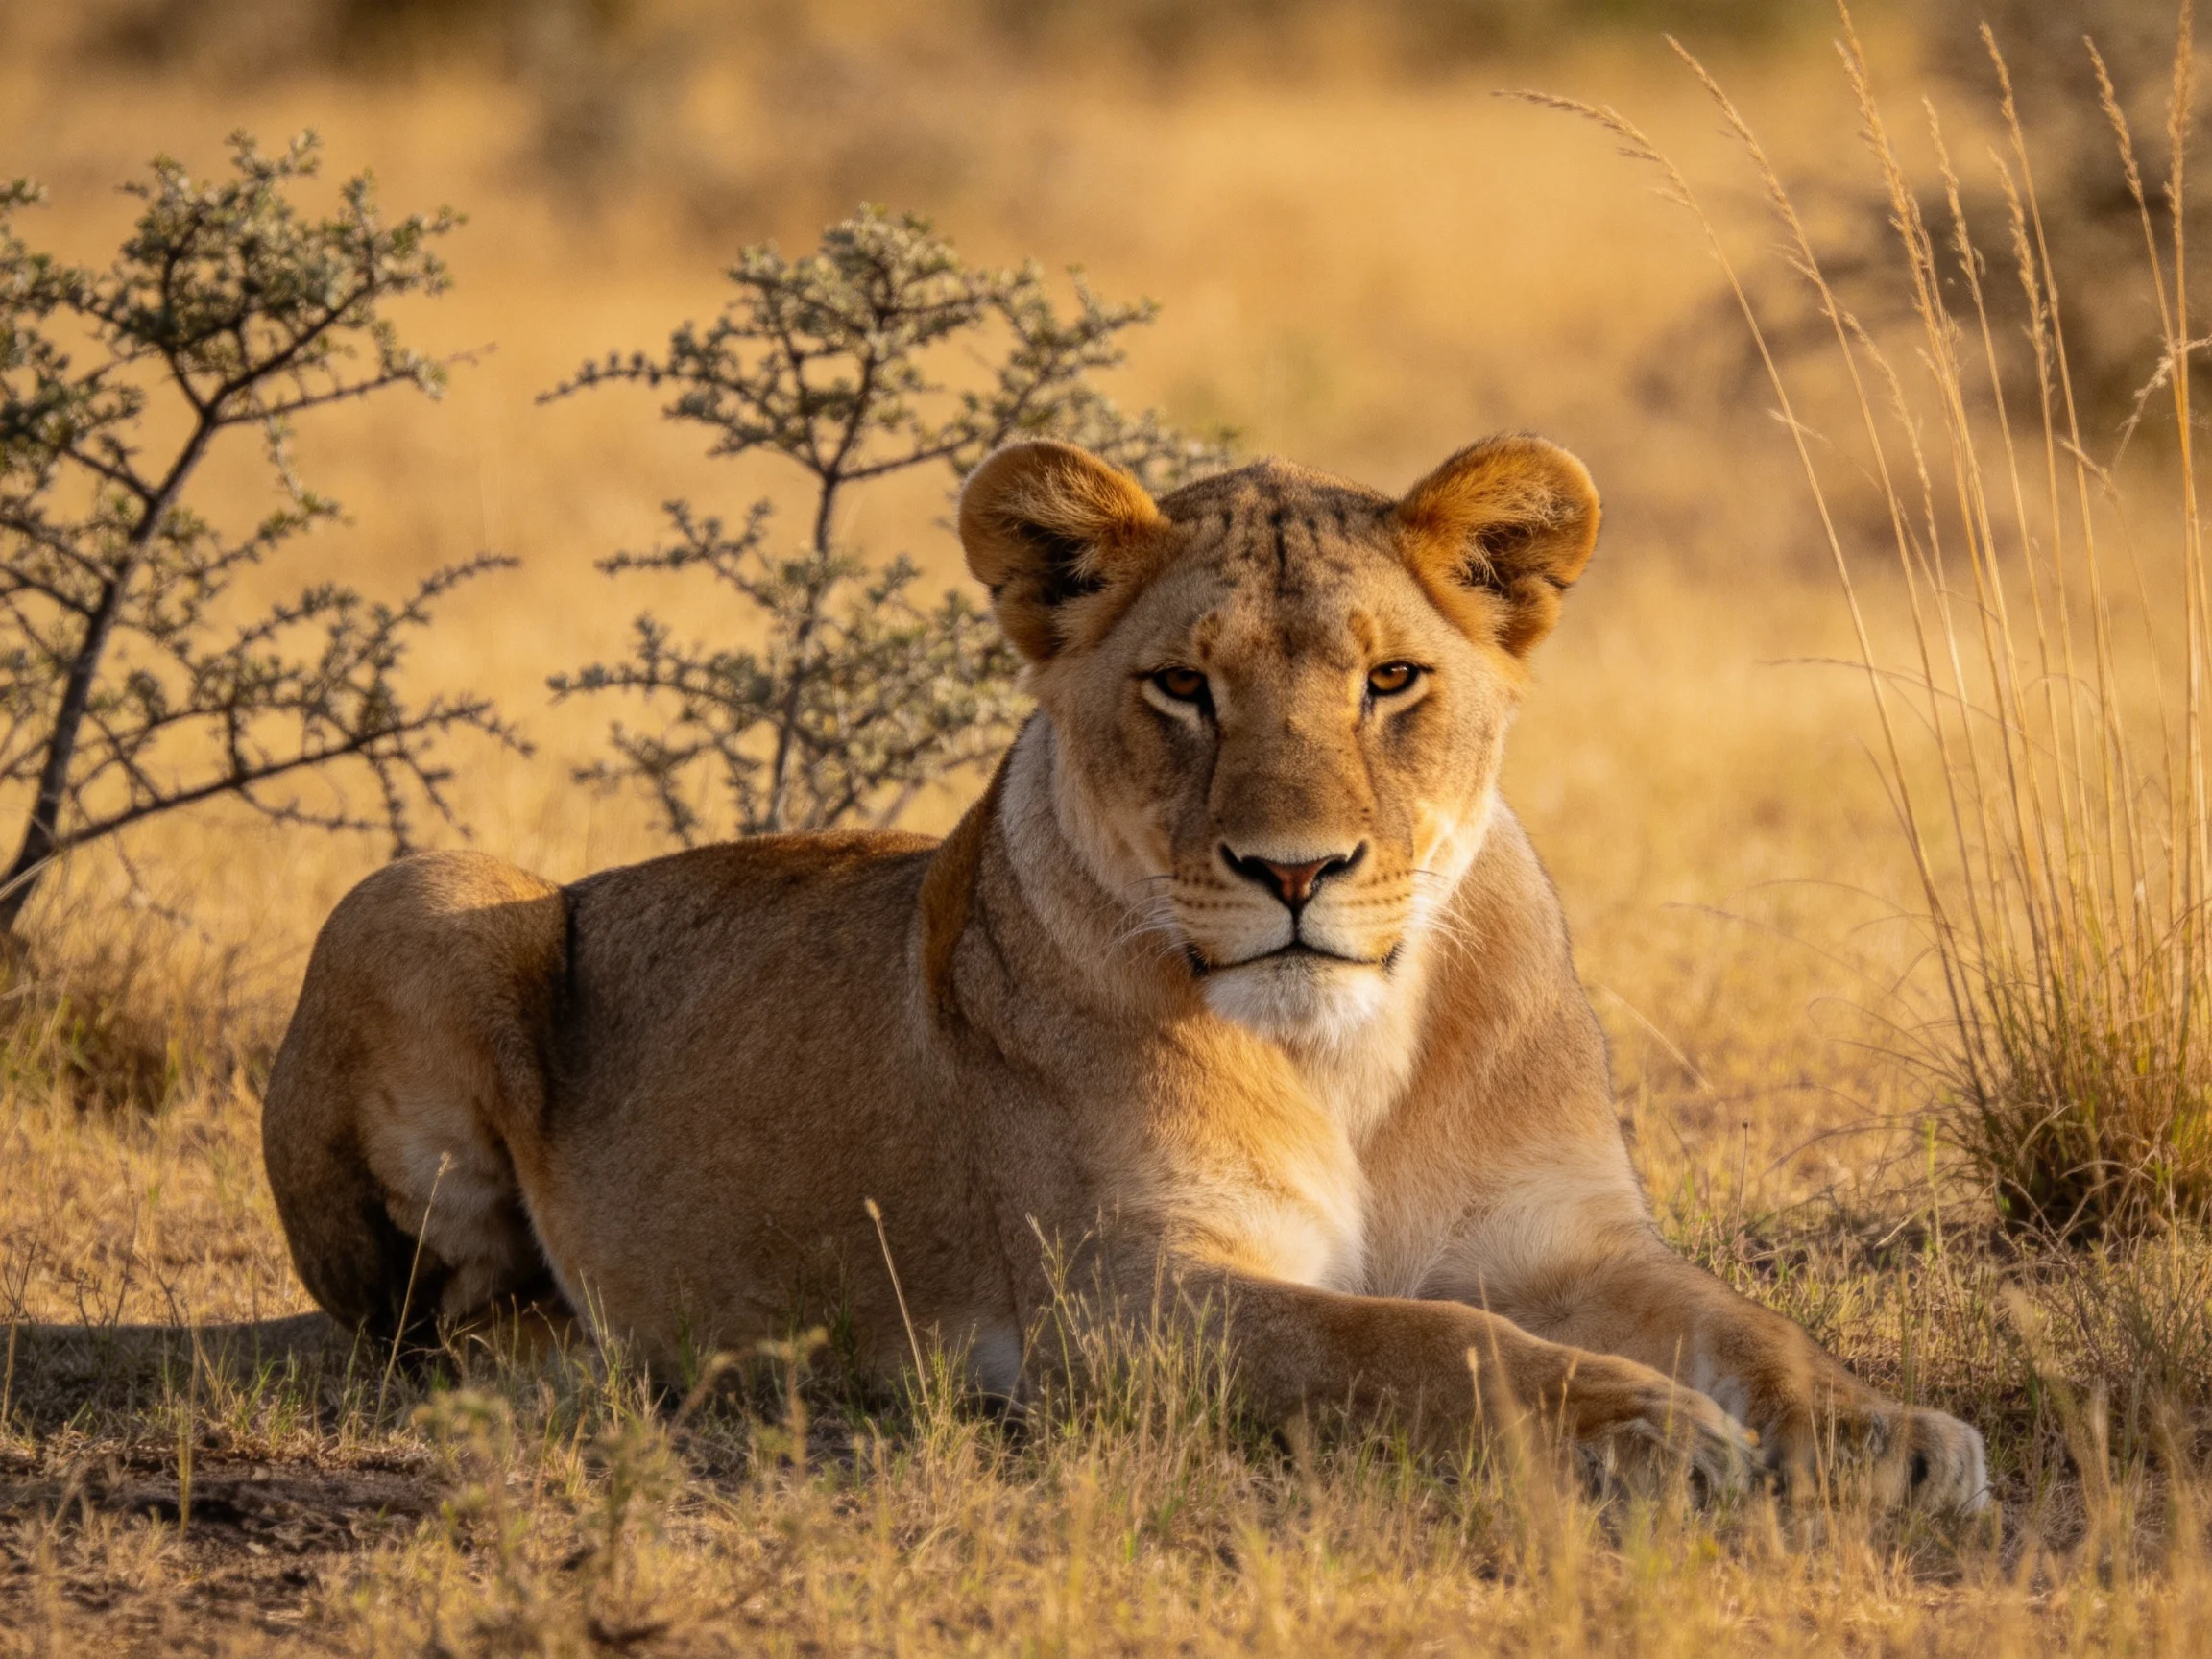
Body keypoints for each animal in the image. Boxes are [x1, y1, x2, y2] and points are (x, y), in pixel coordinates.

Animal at [262, 434, 1988, 1510]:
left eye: (1391, 679)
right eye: (1180, 687)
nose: (1293, 872)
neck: (1353, 1052)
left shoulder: (1565, 1236)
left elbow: (1749, 1327)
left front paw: (1883, 1435)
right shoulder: (1124, 1301)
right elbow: (1414, 1340)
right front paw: (1638, 1425)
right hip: (429, 886)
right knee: (426, 1317)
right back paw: (586, 1348)